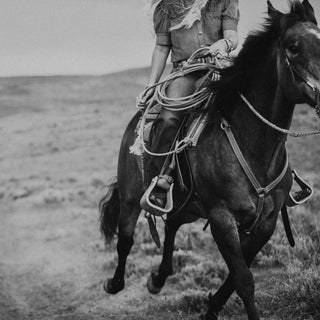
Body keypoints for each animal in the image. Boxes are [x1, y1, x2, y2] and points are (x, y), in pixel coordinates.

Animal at [99, 1, 320, 318]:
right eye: (293, 47)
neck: (253, 145)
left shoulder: (266, 222)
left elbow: (234, 277)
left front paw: (211, 307)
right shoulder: (221, 219)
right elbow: (243, 280)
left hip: (187, 205)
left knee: (171, 225)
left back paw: (158, 278)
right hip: (132, 196)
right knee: (126, 239)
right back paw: (115, 283)